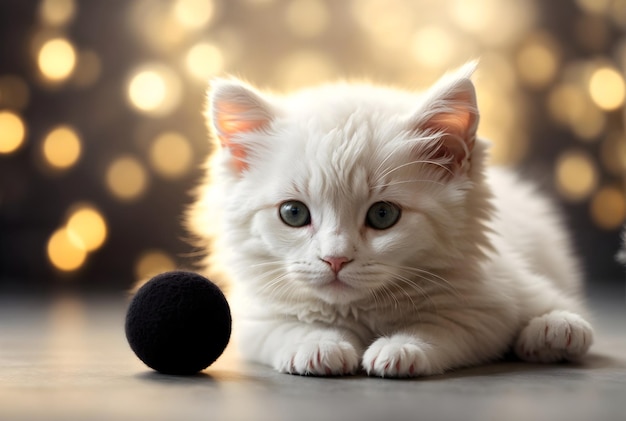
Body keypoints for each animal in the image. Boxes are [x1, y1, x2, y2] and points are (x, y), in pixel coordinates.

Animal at [188, 63, 592, 378]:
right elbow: (286, 328)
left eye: (383, 215)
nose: (335, 259)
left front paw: (402, 347)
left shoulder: (494, 293)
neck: (363, 310)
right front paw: (319, 343)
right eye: (293, 213)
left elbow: (451, 324)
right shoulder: (253, 316)